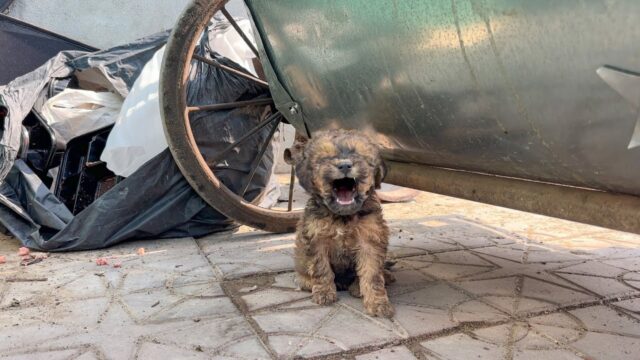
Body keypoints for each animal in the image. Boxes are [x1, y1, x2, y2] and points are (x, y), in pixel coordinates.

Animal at [286, 129, 392, 318]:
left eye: (358, 155)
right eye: (324, 158)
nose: (344, 166)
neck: (343, 218)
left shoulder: (370, 239)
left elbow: (372, 273)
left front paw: (378, 303)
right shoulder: (316, 238)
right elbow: (321, 268)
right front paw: (324, 292)